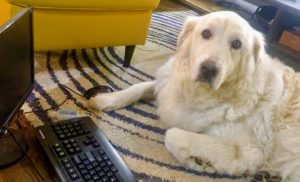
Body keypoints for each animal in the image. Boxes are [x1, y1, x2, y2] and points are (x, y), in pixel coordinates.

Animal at [90, 11, 300, 182]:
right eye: (206, 33)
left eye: (236, 44)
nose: (209, 69)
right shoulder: (168, 84)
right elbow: (139, 86)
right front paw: (106, 99)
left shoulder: (249, 150)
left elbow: (172, 133)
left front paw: (197, 161)